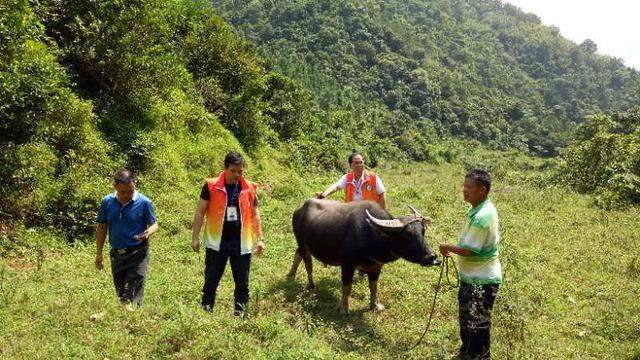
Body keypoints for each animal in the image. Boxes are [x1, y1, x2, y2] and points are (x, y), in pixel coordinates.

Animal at [288, 198, 440, 314]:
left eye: (423, 231)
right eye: (408, 234)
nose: (432, 257)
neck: (373, 236)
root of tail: (299, 209)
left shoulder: (376, 267)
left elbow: (373, 287)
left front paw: (375, 305)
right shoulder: (347, 265)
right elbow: (346, 287)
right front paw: (344, 309)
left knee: (298, 254)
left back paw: (291, 275)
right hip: (302, 242)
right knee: (308, 264)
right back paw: (311, 285)